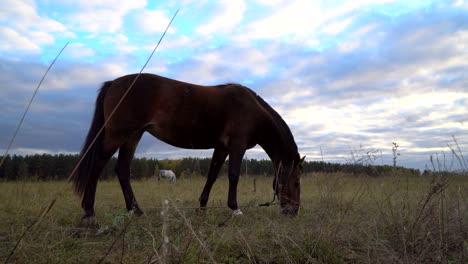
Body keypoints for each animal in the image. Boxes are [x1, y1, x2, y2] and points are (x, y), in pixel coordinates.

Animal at [73, 72, 304, 219]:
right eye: (296, 183)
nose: (293, 212)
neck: (252, 110)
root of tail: (113, 83)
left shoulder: (222, 148)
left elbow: (212, 176)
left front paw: (202, 208)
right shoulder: (236, 147)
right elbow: (233, 176)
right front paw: (235, 209)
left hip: (132, 136)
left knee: (122, 169)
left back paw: (136, 211)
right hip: (118, 135)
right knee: (97, 165)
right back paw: (89, 212)